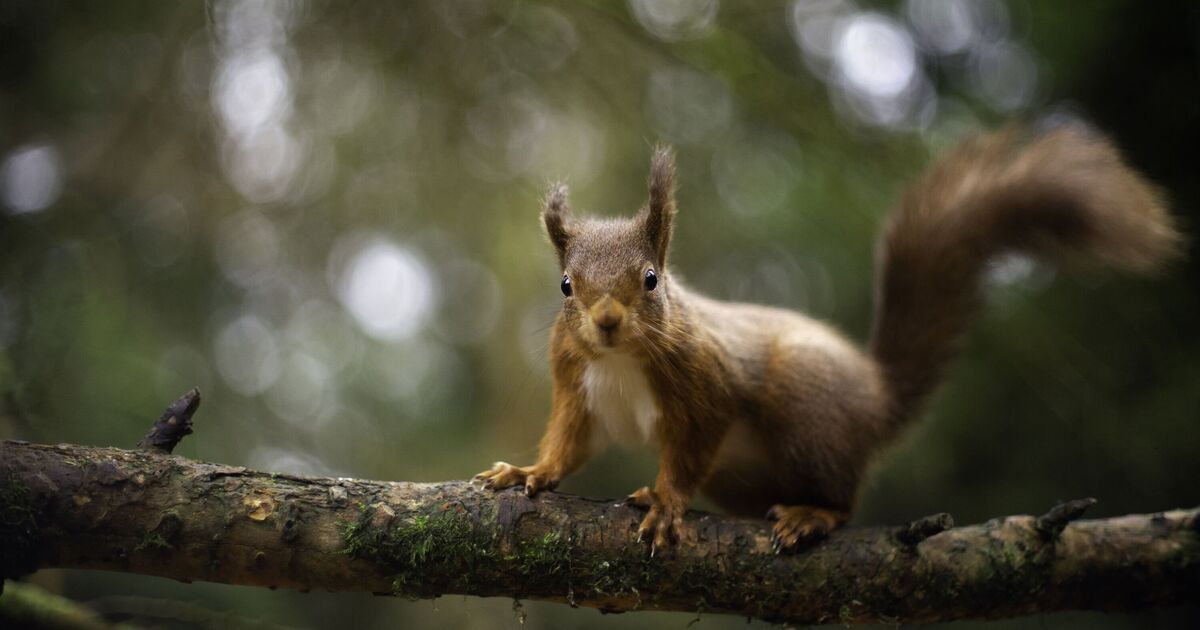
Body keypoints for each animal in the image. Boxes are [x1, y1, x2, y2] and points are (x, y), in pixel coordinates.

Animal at [475, 125, 1181, 554]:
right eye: (566, 286)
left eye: (651, 278)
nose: (607, 321)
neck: (621, 359)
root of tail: (877, 398)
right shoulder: (577, 384)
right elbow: (570, 442)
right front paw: (528, 471)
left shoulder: (708, 384)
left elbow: (693, 445)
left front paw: (670, 501)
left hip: (805, 408)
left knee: (843, 499)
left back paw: (812, 515)